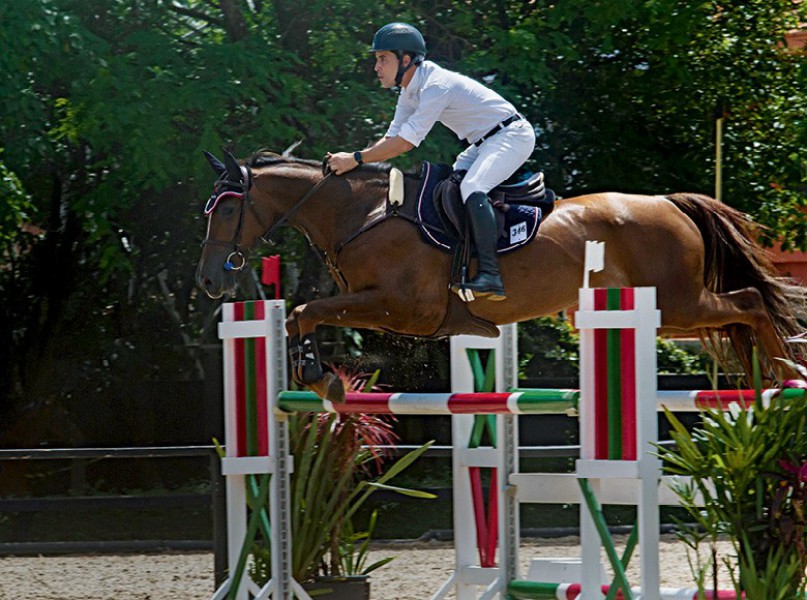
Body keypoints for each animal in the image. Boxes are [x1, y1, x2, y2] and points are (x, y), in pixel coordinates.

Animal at [197, 150, 807, 404]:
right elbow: (303, 314)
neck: (362, 215)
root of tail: (669, 203)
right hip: (668, 313)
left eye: (225, 211)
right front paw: (315, 374)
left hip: (678, 303)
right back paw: (770, 379)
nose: (208, 282)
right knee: (743, 310)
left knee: (751, 301)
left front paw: (318, 377)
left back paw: (786, 375)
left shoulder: (404, 308)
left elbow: (307, 311)